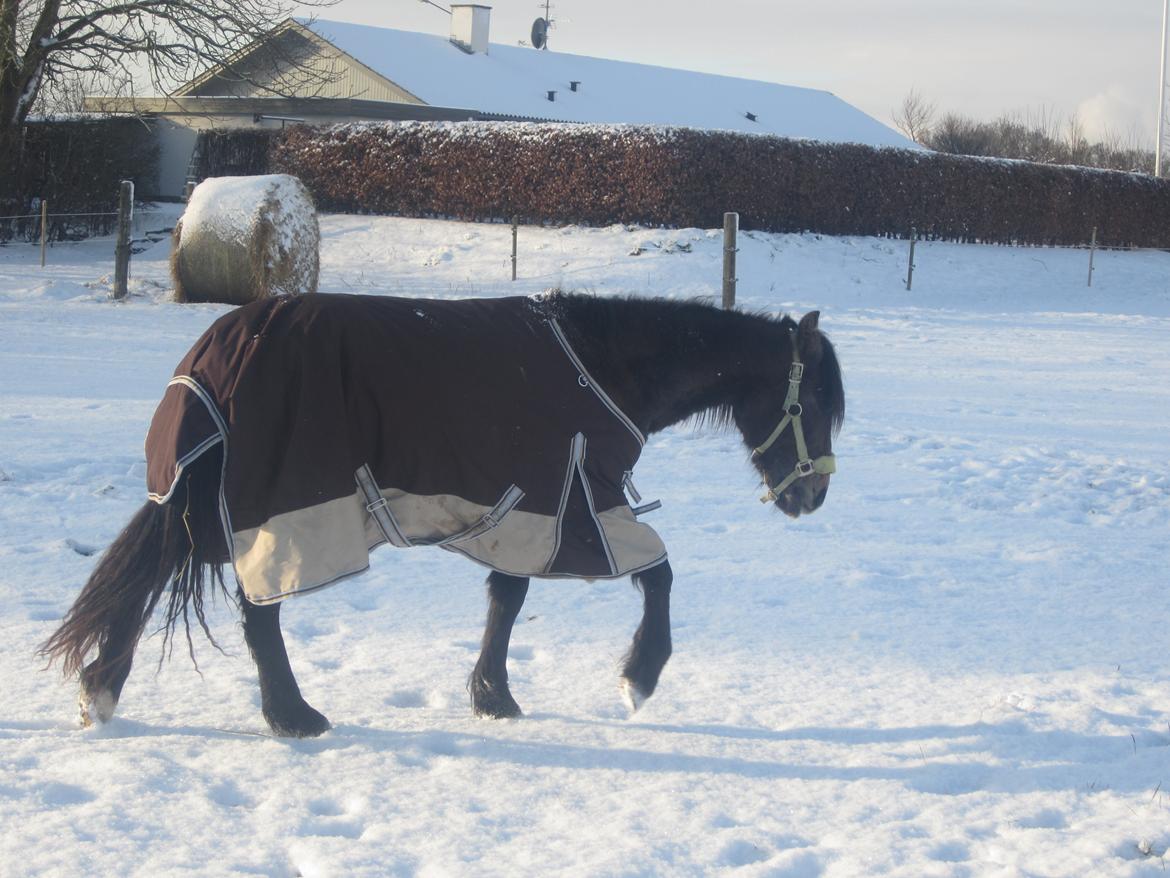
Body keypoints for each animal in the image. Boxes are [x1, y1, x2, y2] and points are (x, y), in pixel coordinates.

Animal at [36, 292, 842, 739]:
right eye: (816, 403)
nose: (812, 498)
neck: (604, 365)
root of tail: (214, 351)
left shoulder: (527, 509)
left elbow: (506, 599)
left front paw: (493, 696)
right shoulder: (585, 501)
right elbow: (661, 574)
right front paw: (639, 678)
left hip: (205, 505)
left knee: (151, 575)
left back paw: (102, 691)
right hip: (277, 512)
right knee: (256, 611)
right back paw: (293, 717)